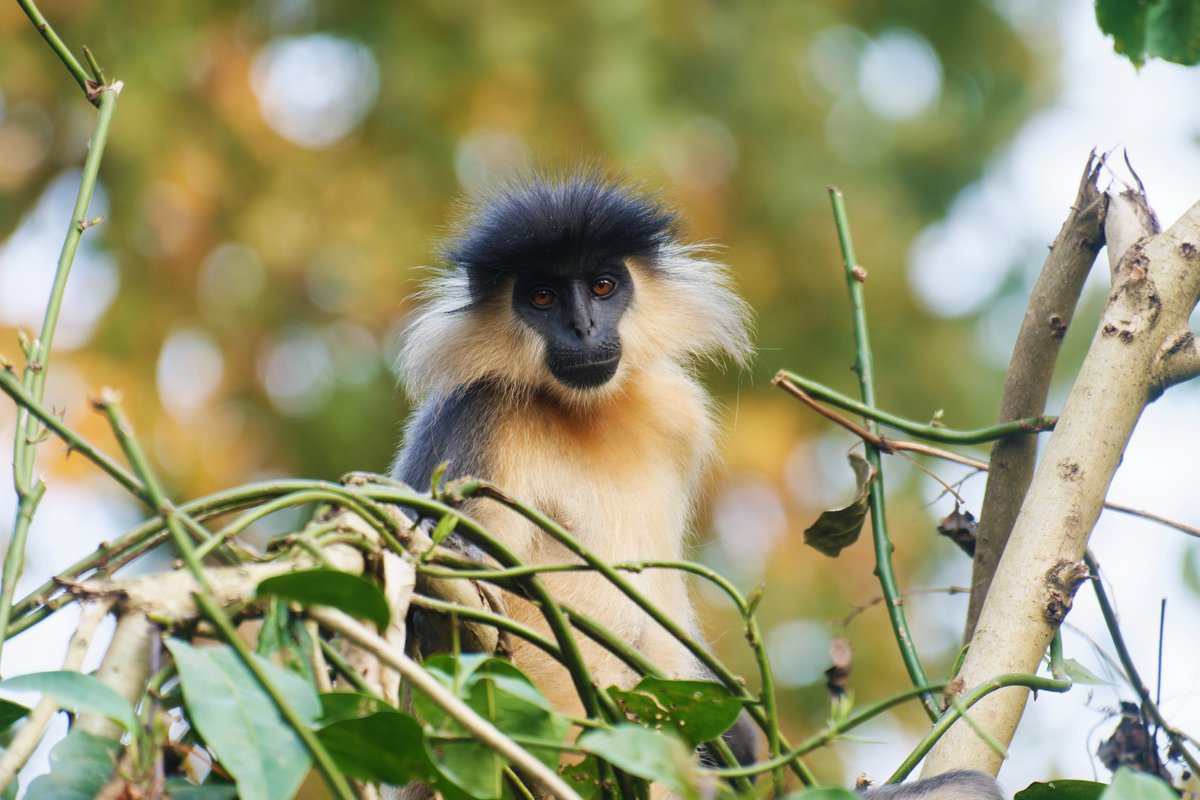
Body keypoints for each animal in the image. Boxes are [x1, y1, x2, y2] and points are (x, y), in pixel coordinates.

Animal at [391, 171, 1007, 800]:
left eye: (603, 285)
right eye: (542, 297)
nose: (584, 327)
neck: (585, 412)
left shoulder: (677, 410)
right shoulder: (476, 414)